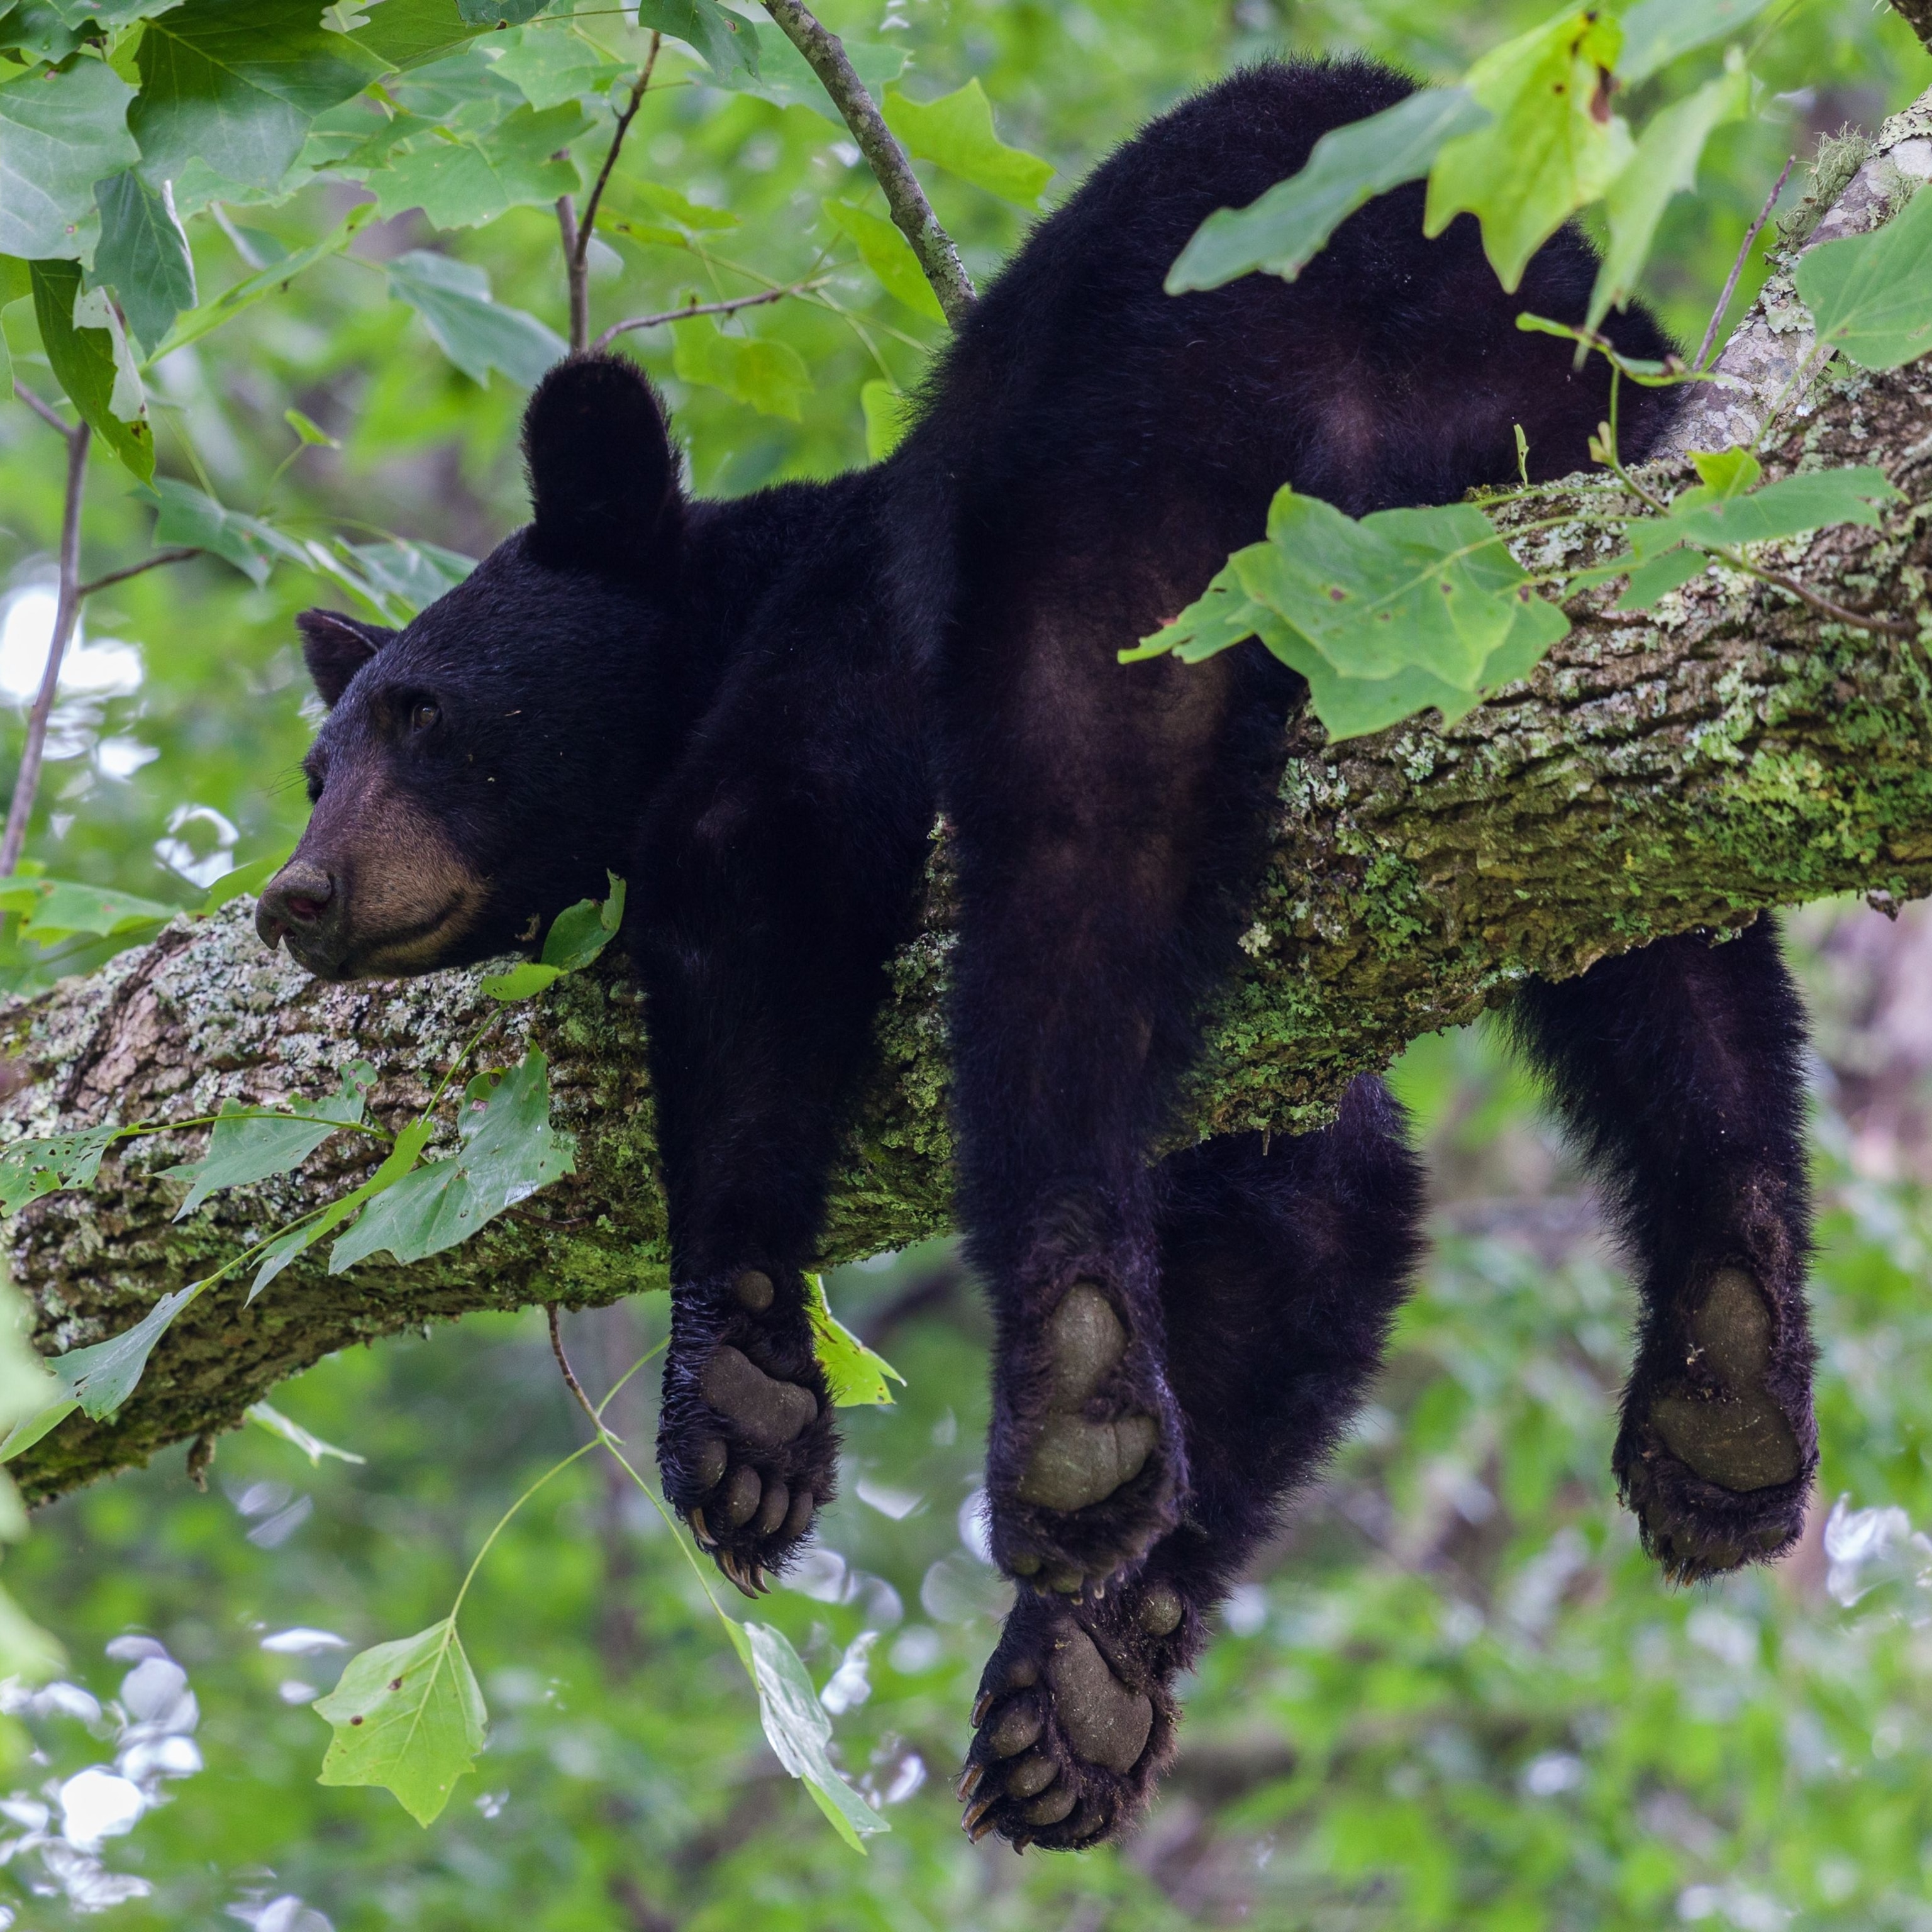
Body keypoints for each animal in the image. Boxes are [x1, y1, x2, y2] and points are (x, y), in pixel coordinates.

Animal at [253, 53, 1808, 1846]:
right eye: (319, 765)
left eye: (430, 722)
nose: (296, 895)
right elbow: (1316, 1204)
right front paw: (1081, 1685)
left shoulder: (846, 625)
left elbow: (753, 854)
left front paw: (743, 1395)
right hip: (1573, 518)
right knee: (1658, 902)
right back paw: (1726, 1370)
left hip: (1132, 460)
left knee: (1074, 841)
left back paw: (1063, 1377)